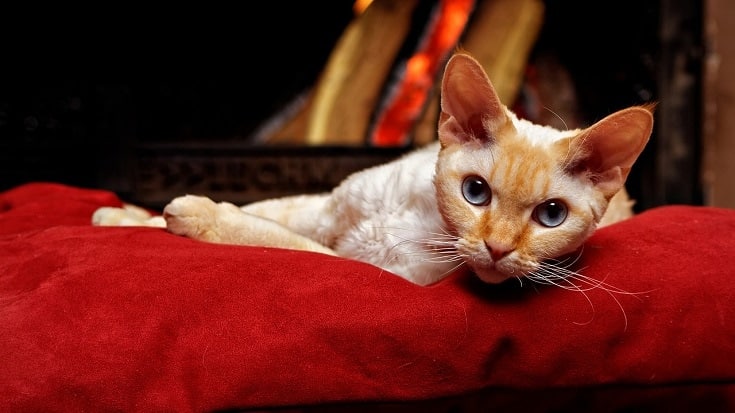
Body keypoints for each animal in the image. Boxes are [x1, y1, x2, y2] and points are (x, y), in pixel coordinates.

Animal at [93, 52, 656, 286]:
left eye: (551, 216)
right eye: (475, 192)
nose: (497, 250)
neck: (420, 220)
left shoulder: (367, 268)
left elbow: (271, 237)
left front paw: (196, 215)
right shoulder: (323, 209)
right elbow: (266, 211)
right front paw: (125, 217)